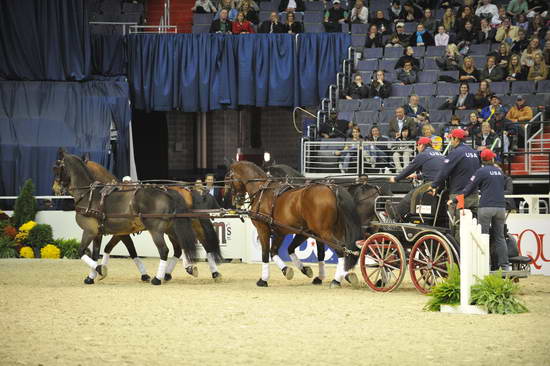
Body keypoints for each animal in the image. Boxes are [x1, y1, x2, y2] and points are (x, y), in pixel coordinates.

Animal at [52, 149, 198, 286]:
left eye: (56, 167)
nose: (55, 189)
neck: (88, 195)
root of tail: (168, 193)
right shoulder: (105, 233)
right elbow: (101, 252)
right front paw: (91, 277)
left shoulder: (90, 231)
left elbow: (82, 251)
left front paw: (100, 270)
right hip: (170, 229)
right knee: (180, 247)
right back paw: (175, 272)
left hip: (156, 230)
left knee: (164, 250)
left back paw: (158, 278)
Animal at [81, 156, 222, 284]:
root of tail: (187, 189)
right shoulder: (121, 231)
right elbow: (110, 248)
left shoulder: (121, 232)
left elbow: (125, 250)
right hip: (185, 225)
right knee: (197, 245)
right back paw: (208, 272)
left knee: (184, 246)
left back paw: (183, 270)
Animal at [227, 162, 362, 288]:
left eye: (229, 179)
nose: (236, 200)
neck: (262, 191)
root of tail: (332, 189)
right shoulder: (289, 232)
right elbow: (280, 251)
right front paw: (297, 270)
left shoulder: (263, 228)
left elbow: (265, 254)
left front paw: (263, 279)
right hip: (334, 230)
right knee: (345, 249)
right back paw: (343, 274)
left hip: (325, 232)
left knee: (340, 248)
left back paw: (336, 280)